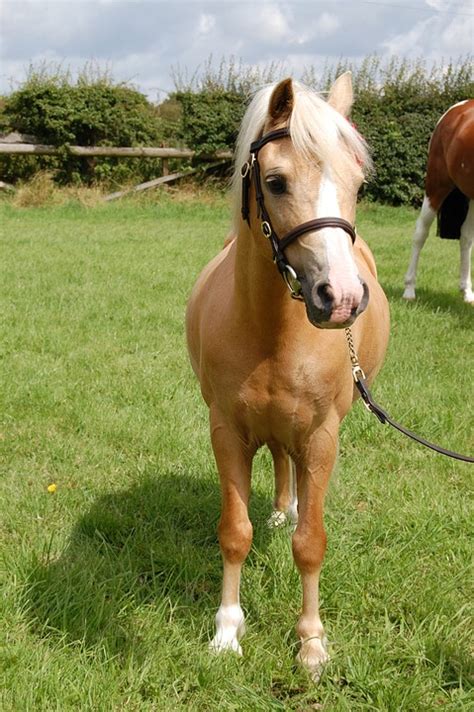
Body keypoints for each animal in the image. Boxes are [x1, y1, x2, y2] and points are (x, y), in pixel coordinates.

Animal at [185, 73, 388, 680]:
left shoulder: (322, 437)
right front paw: (227, 632)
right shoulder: (227, 432)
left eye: (357, 183)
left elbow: (311, 543)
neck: (273, 330)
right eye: (275, 182)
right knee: (280, 460)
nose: (340, 298)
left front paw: (311, 644)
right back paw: (281, 509)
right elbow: (235, 534)